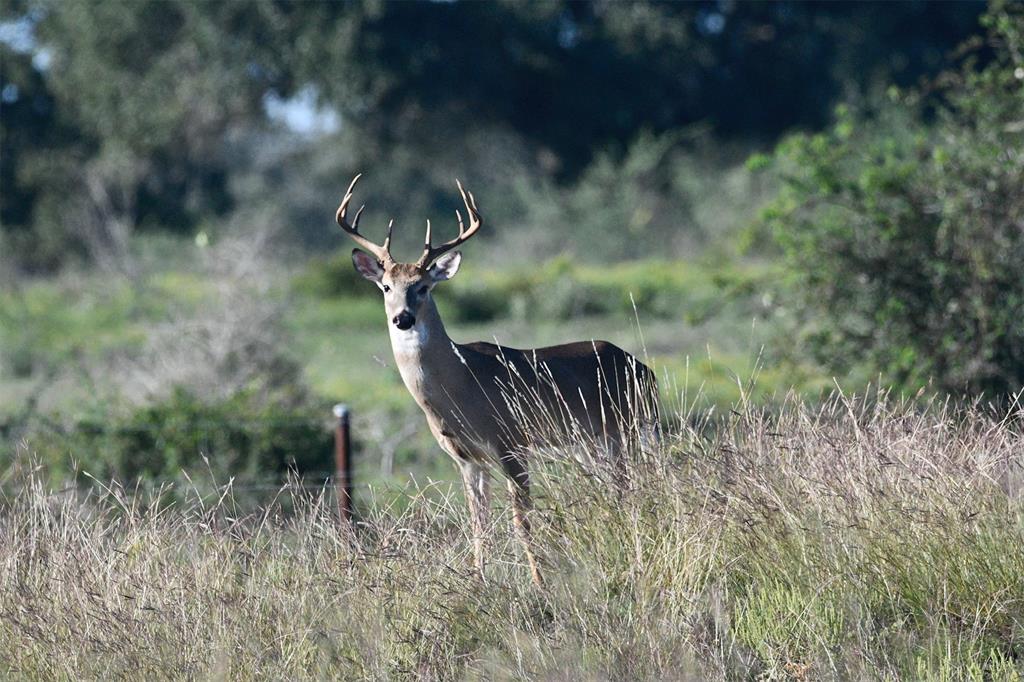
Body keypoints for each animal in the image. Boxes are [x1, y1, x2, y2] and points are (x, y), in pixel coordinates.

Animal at [335, 175, 655, 585]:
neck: (461, 387)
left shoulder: (511, 441)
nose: (402, 318)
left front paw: (538, 583)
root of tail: (645, 369)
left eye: (423, 286)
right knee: (614, 490)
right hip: (592, 441)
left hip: (625, 428)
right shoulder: (467, 458)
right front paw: (479, 579)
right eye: (387, 287)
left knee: (631, 489)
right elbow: (478, 523)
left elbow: (522, 522)